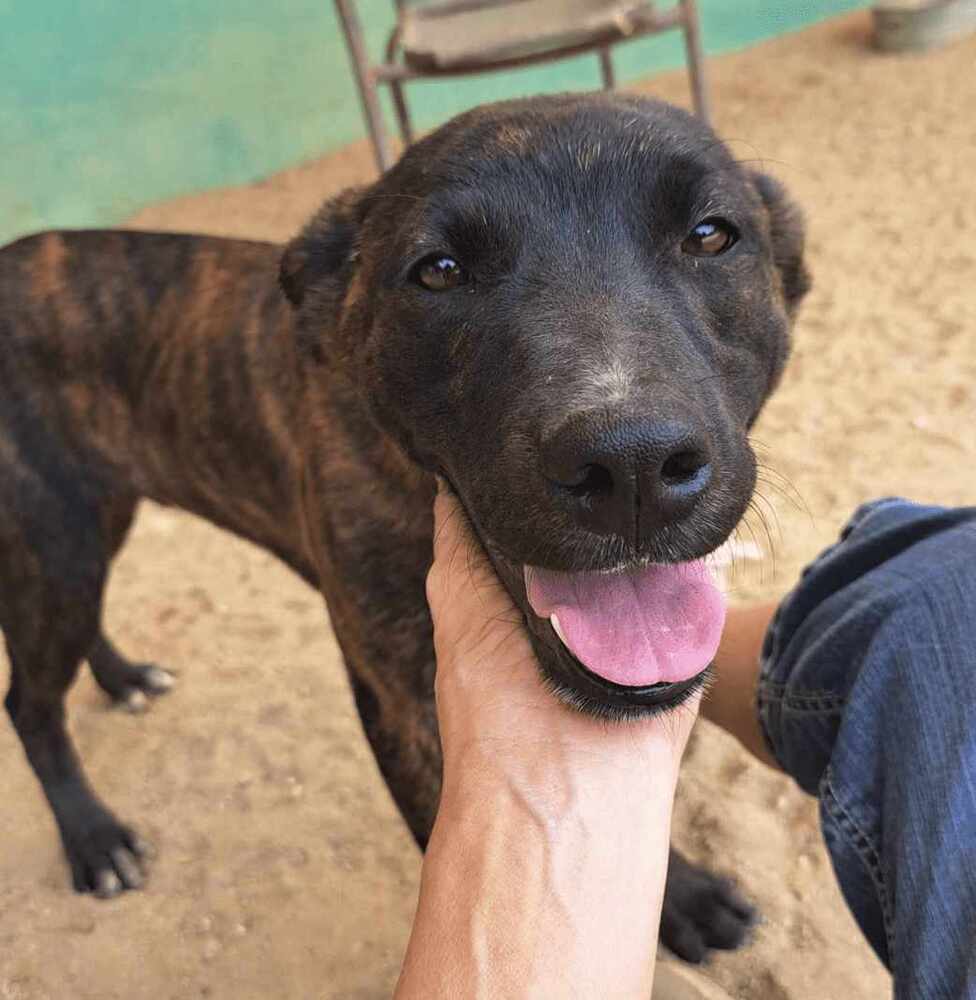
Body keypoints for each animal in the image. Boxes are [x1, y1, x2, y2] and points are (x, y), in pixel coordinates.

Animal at [0, 92, 808, 960]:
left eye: (711, 235)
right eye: (440, 270)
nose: (631, 466)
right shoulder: (405, 707)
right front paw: (678, 903)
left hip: (82, 534)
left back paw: (122, 680)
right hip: (55, 545)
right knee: (29, 704)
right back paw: (93, 838)